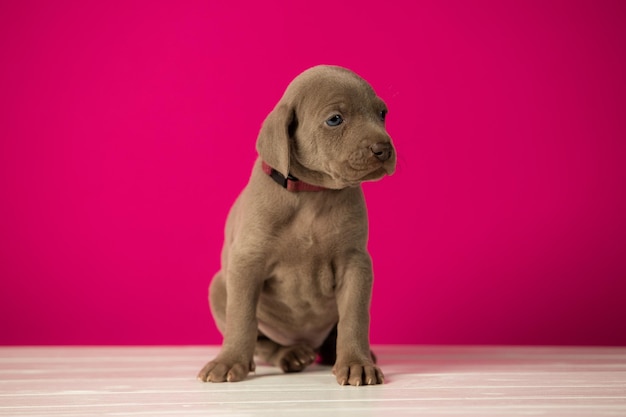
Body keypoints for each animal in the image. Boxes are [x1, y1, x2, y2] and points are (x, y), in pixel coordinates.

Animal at [196, 65, 394, 386]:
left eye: (382, 113)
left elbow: (354, 317)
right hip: (217, 287)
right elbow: (242, 317)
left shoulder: (355, 263)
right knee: (265, 343)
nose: (384, 149)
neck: (311, 194)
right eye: (335, 119)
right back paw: (291, 354)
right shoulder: (247, 261)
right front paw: (229, 361)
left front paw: (356, 362)